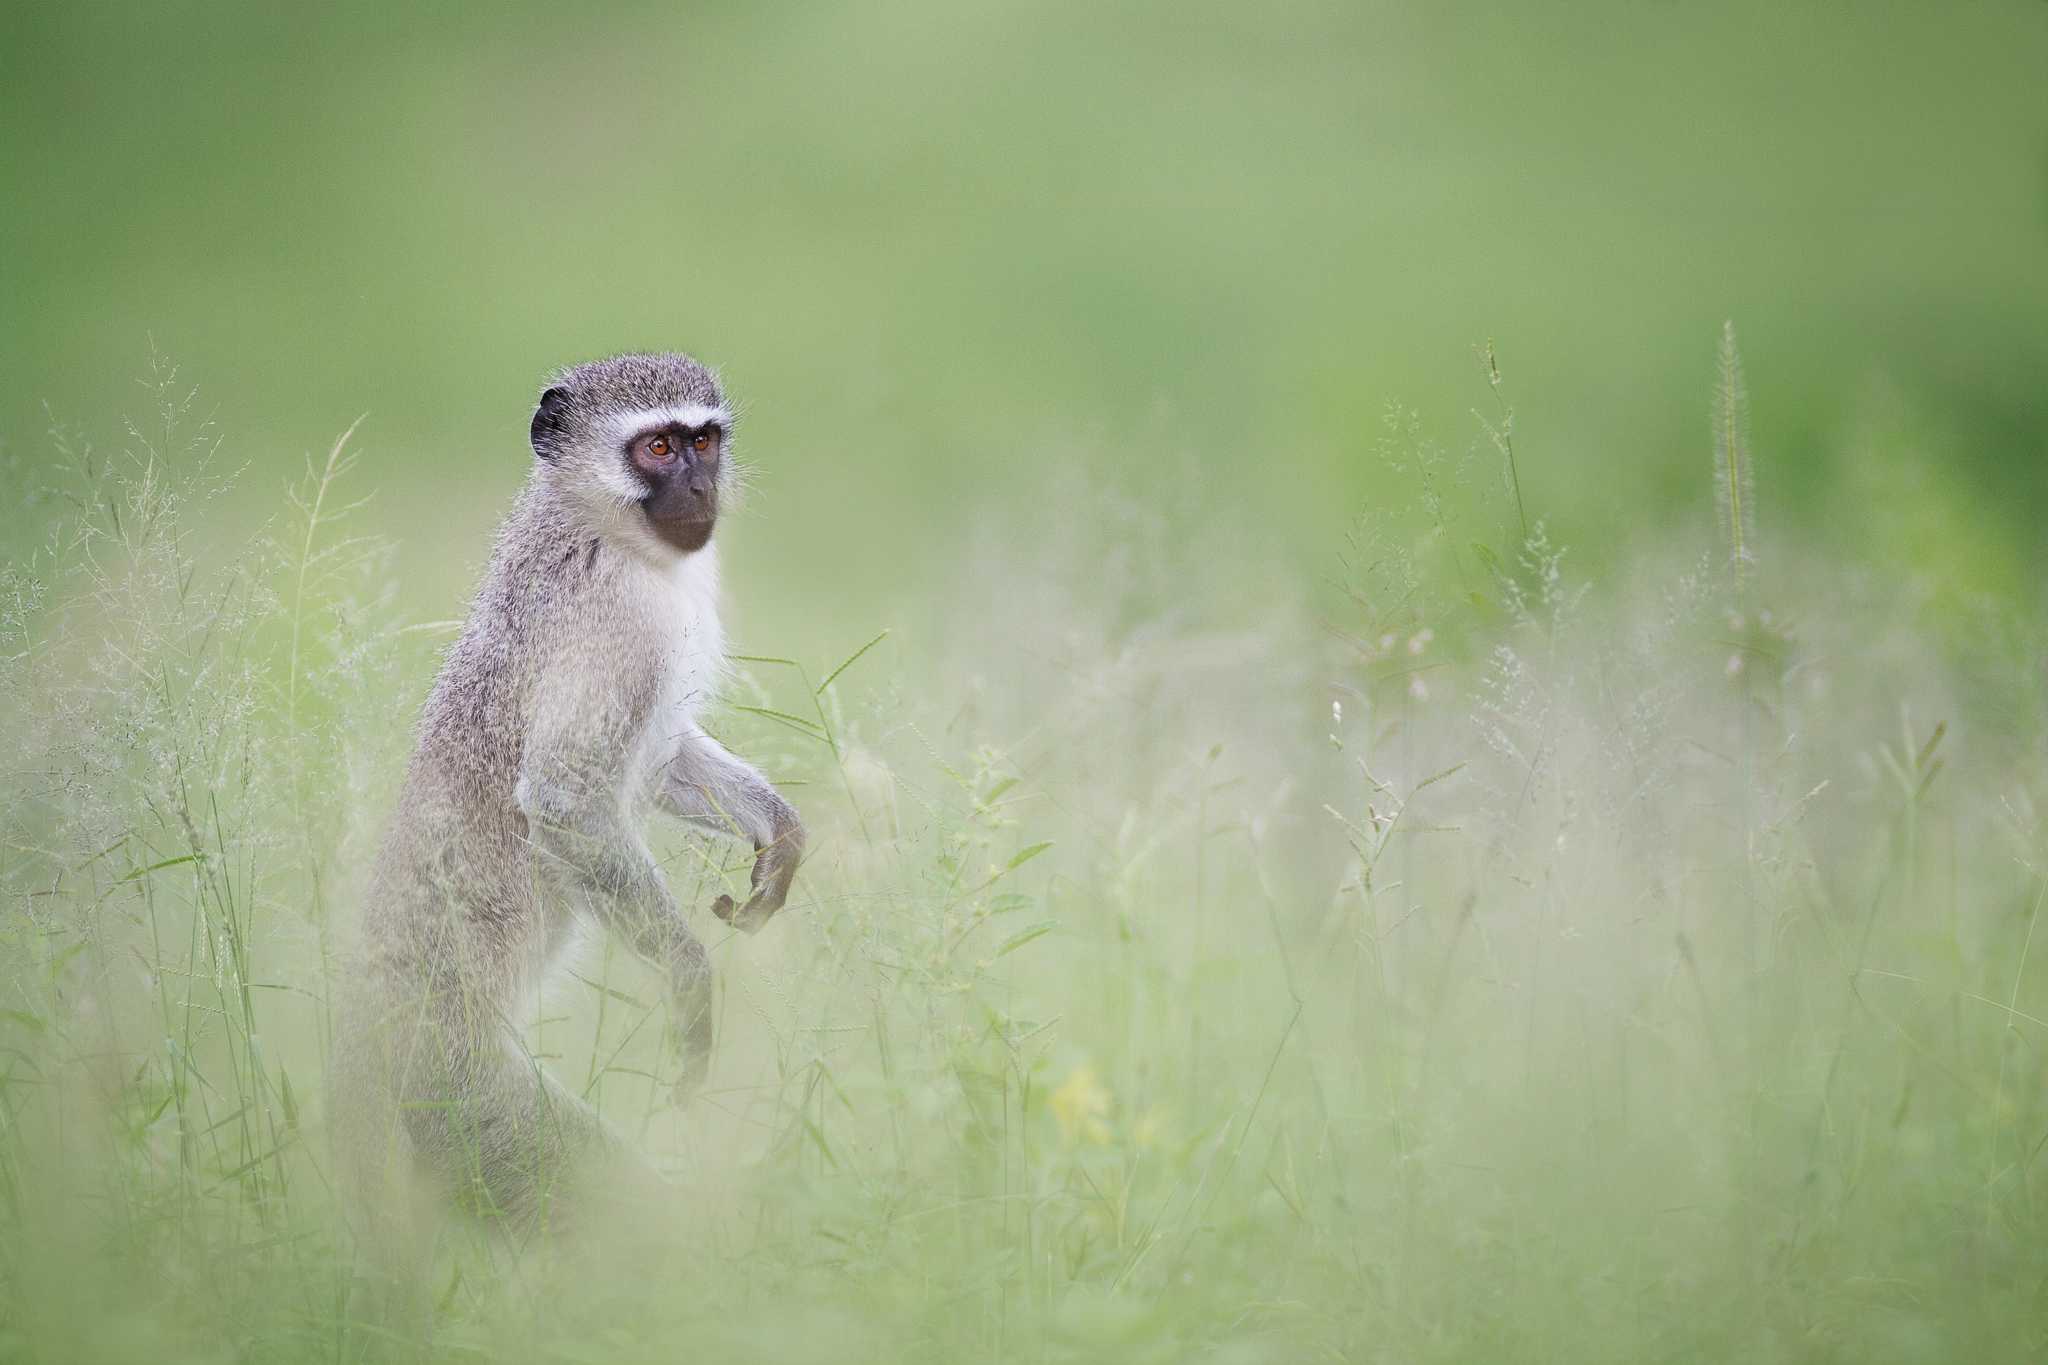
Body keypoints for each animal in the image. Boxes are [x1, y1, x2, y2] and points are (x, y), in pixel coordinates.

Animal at [329, 351, 798, 1309]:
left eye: (704, 440)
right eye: (656, 447)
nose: (702, 487)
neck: (594, 527)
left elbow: (656, 759)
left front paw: (779, 830)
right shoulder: (613, 625)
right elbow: (566, 797)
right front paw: (688, 979)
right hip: (456, 1096)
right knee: (615, 1213)